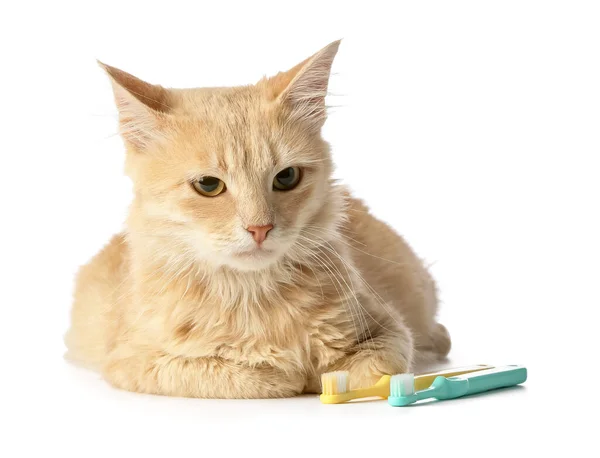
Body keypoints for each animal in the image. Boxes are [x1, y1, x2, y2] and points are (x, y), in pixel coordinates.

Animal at [64, 41, 450, 398]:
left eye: (287, 177)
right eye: (208, 185)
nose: (260, 228)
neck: (251, 295)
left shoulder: (390, 329)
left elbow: (373, 370)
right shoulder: (132, 362)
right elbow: (234, 375)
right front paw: (286, 374)